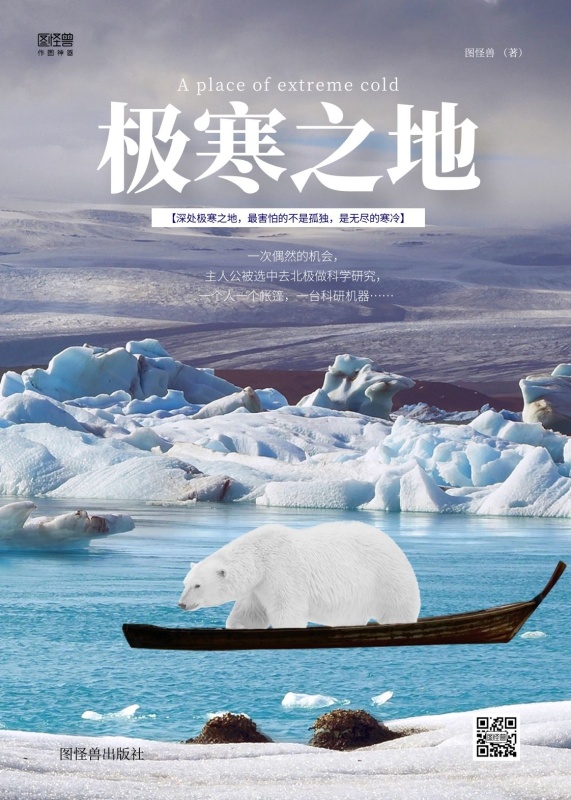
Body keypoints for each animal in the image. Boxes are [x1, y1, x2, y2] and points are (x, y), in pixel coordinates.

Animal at [178, 521, 420, 629]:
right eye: (185, 583)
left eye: (197, 585)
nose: (181, 604)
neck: (260, 557)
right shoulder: (257, 587)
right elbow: (250, 614)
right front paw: (238, 625)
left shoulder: (281, 572)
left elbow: (287, 611)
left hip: (386, 578)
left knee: (396, 610)